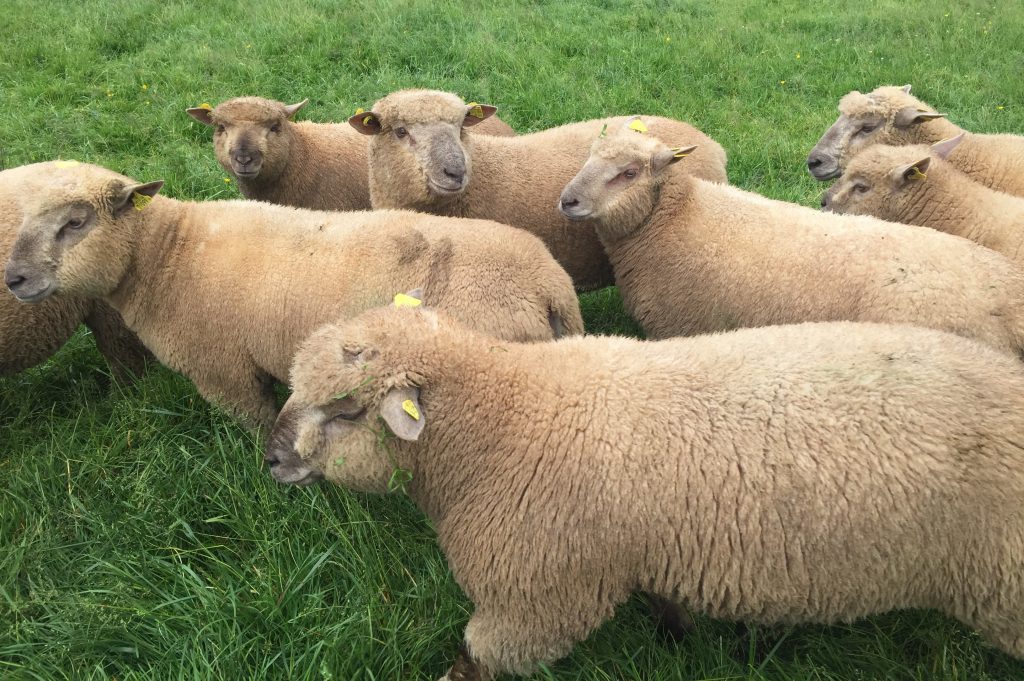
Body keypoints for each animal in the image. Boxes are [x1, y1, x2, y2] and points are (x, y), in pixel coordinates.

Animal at [266, 304, 1024, 680]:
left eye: (346, 409)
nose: (269, 457)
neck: (507, 416)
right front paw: (677, 632)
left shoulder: (537, 596)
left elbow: (478, 657)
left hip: (1005, 586)